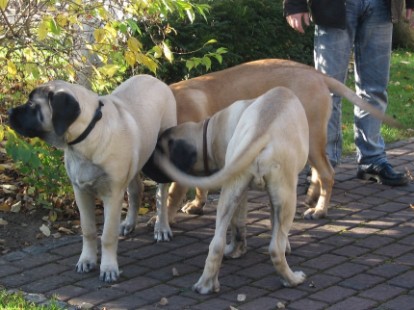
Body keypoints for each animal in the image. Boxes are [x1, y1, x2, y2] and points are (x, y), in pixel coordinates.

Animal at [8, 74, 176, 280]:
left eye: (32, 104)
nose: (9, 111)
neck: (86, 136)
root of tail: (153, 78)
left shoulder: (113, 195)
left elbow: (108, 236)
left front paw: (108, 268)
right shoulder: (81, 192)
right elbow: (88, 230)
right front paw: (86, 260)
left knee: (161, 195)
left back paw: (161, 227)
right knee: (136, 191)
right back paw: (129, 223)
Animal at [155, 87, 310, 294]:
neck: (210, 135)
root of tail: (261, 131)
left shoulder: (241, 191)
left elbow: (238, 225)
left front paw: (237, 249)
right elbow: (273, 225)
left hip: (230, 193)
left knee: (216, 243)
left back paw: (206, 284)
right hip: (287, 196)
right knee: (275, 249)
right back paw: (292, 279)